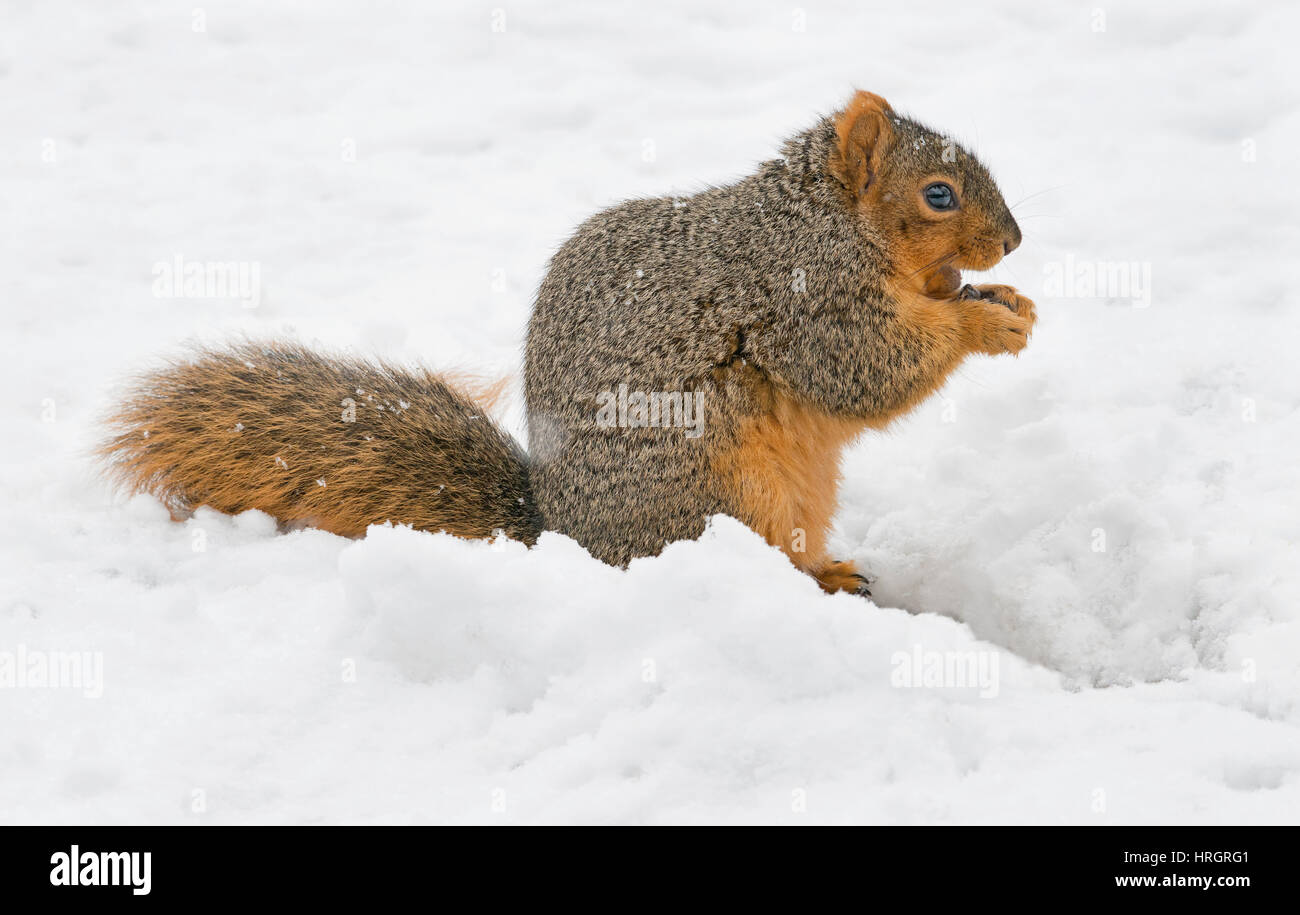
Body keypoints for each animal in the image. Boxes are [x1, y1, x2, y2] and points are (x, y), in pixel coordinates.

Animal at [98, 90, 1034, 592]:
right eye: (940, 193)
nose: (1014, 241)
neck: (830, 220)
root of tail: (563, 535)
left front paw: (995, 298)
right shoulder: (805, 296)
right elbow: (864, 368)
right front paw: (986, 319)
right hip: (724, 493)